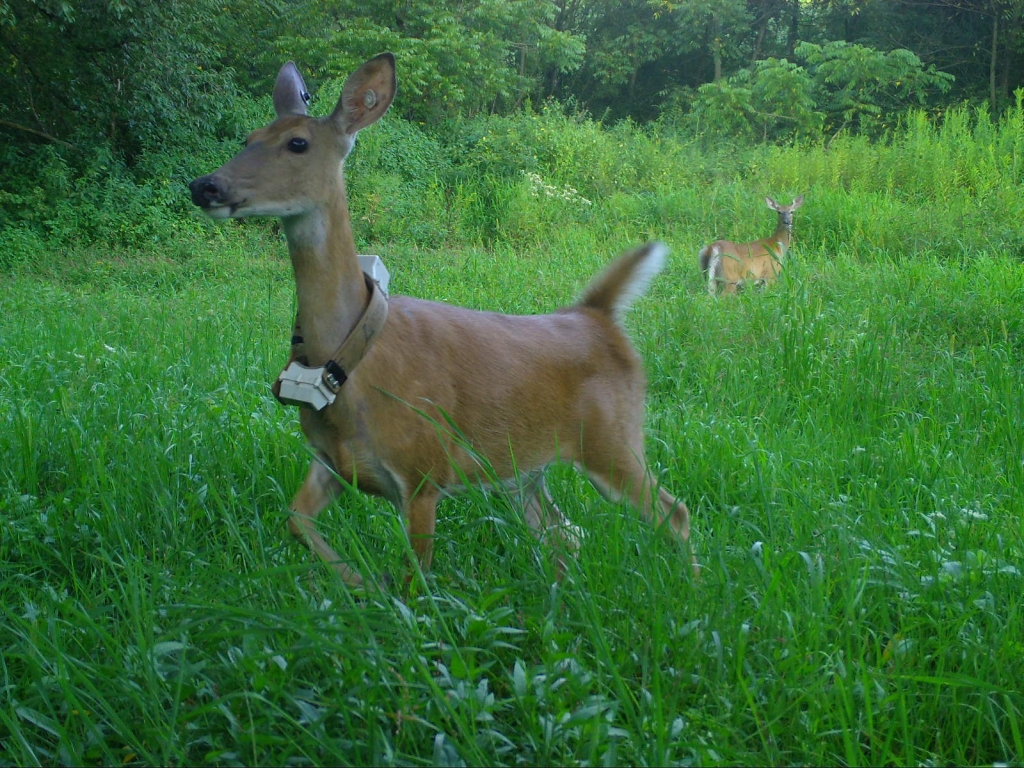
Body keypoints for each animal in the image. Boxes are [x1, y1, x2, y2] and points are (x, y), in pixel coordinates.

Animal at [188, 54, 692, 589]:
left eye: (297, 143)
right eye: (249, 137)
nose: (205, 185)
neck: (347, 357)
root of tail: (597, 315)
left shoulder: (423, 470)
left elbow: (418, 580)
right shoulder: (330, 461)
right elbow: (296, 520)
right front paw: (363, 584)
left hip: (613, 439)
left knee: (673, 512)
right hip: (524, 471)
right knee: (566, 535)